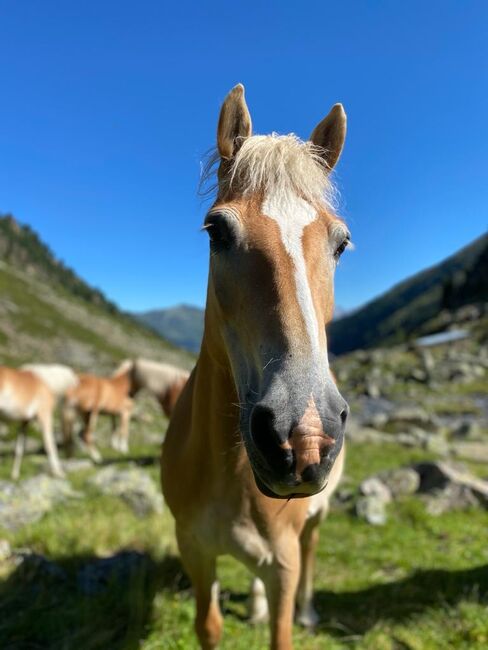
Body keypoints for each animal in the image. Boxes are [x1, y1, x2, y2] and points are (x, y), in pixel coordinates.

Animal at [163, 83, 350, 644]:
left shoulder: (283, 565)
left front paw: (290, 617)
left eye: (341, 243)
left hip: (314, 521)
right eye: (216, 231)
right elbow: (209, 625)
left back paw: (308, 610)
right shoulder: (195, 551)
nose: (304, 436)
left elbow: (283, 629)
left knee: (312, 547)